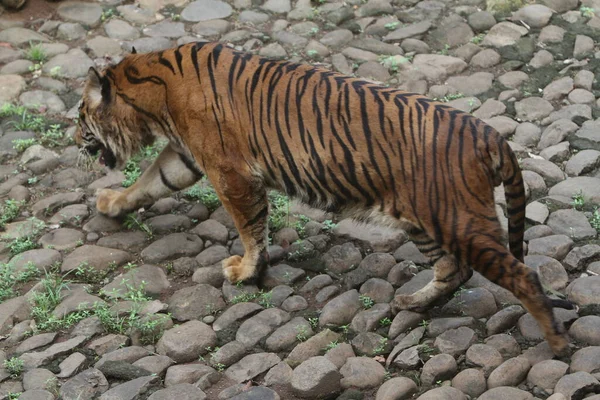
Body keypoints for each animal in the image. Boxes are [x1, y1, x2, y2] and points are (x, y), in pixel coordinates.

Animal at [75, 41, 572, 356]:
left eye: (80, 116)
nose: (76, 141)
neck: (149, 88)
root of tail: (489, 133)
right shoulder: (184, 156)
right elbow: (150, 182)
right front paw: (111, 204)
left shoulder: (230, 173)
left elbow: (250, 226)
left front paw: (246, 271)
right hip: (423, 219)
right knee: (455, 270)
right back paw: (412, 304)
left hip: (458, 219)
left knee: (521, 274)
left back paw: (557, 345)